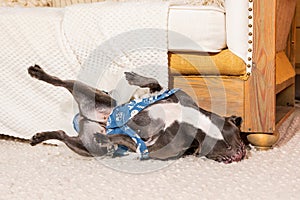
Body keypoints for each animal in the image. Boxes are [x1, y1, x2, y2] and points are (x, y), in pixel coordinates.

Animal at [27, 65, 246, 163]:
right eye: (240, 143)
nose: (241, 153)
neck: (196, 122)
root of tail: (81, 120)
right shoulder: (164, 94)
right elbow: (153, 82)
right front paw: (133, 77)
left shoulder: (152, 147)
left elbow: (125, 137)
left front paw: (107, 137)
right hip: (93, 93)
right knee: (61, 82)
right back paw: (38, 73)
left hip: (86, 147)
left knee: (63, 134)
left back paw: (41, 137)